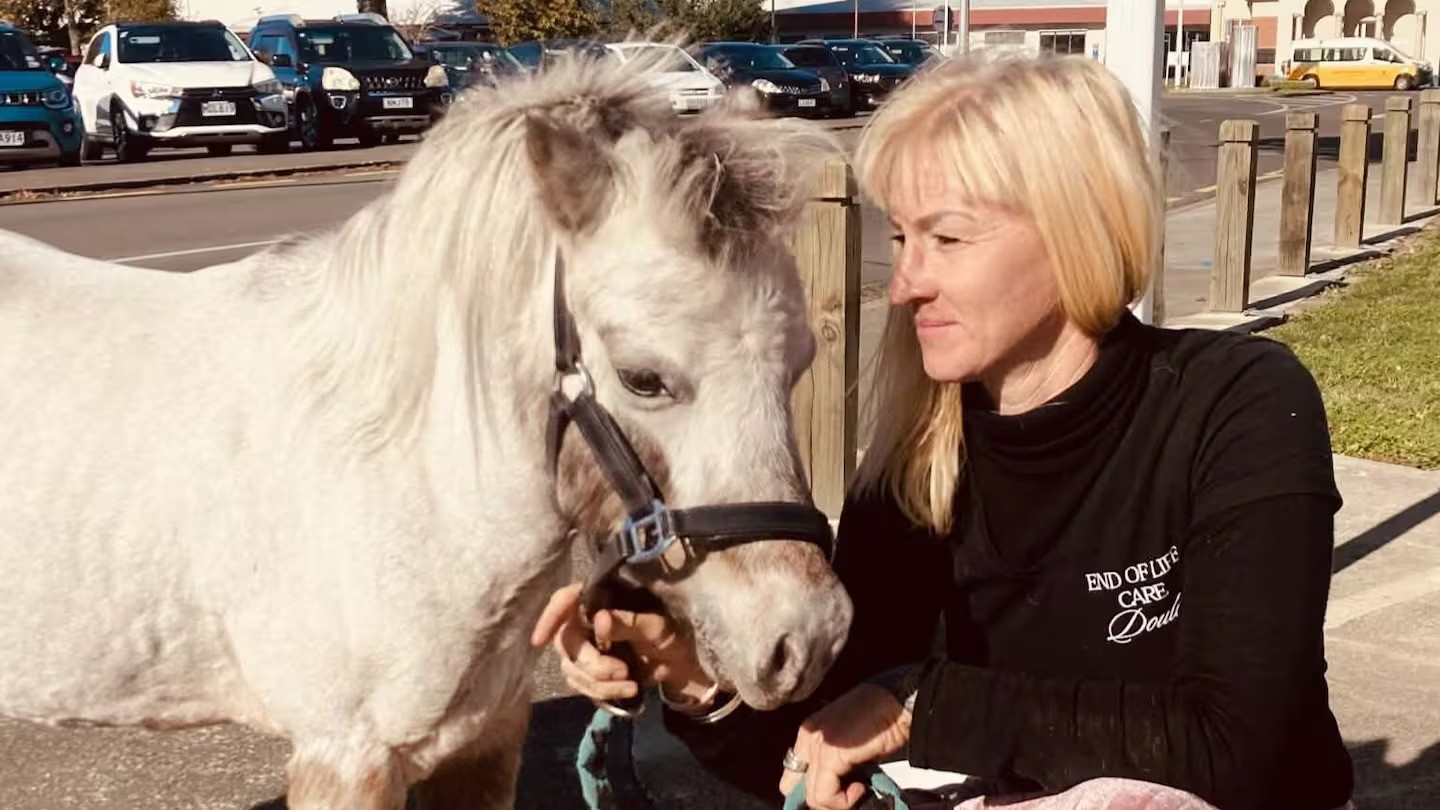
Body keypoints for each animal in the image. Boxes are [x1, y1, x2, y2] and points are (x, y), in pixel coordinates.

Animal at [0, 44, 853, 809]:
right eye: (644, 377)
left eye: (799, 362)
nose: (808, 637)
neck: (402, 473)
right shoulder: (345, 762)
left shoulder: (483, 744)